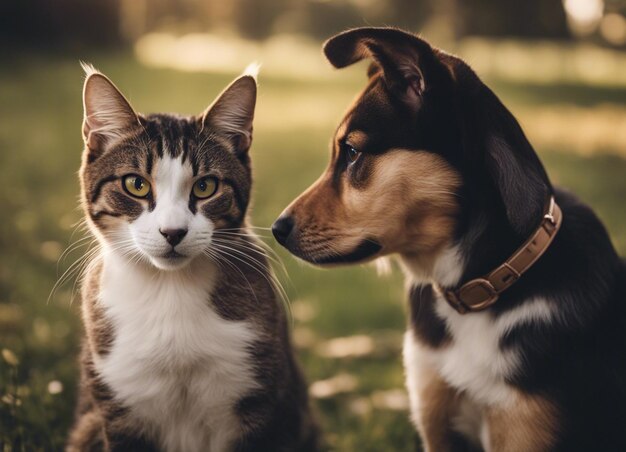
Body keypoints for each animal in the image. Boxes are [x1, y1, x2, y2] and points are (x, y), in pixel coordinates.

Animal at [68, 63, 316, 452]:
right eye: (136, 184)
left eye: (205, 186)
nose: (173, 232)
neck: (169, 289)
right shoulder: (120, 399)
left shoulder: (254, 392)